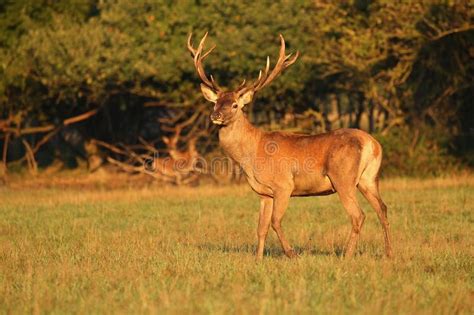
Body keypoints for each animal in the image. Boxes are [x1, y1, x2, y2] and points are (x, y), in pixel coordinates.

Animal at [188, 32, 392, 260]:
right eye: (215, 103)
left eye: (234, 105)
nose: (215, 116)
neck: (252, 154)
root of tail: (372, 144)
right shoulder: (264, 193)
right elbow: (261, 227)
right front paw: (258, 259)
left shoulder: (284, 184)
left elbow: (275, 221)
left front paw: (291, 253)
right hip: (368, 178)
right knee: (382, 209)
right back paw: (389, 253)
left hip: (343, 178)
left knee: (358, 215)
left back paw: (347, 256)